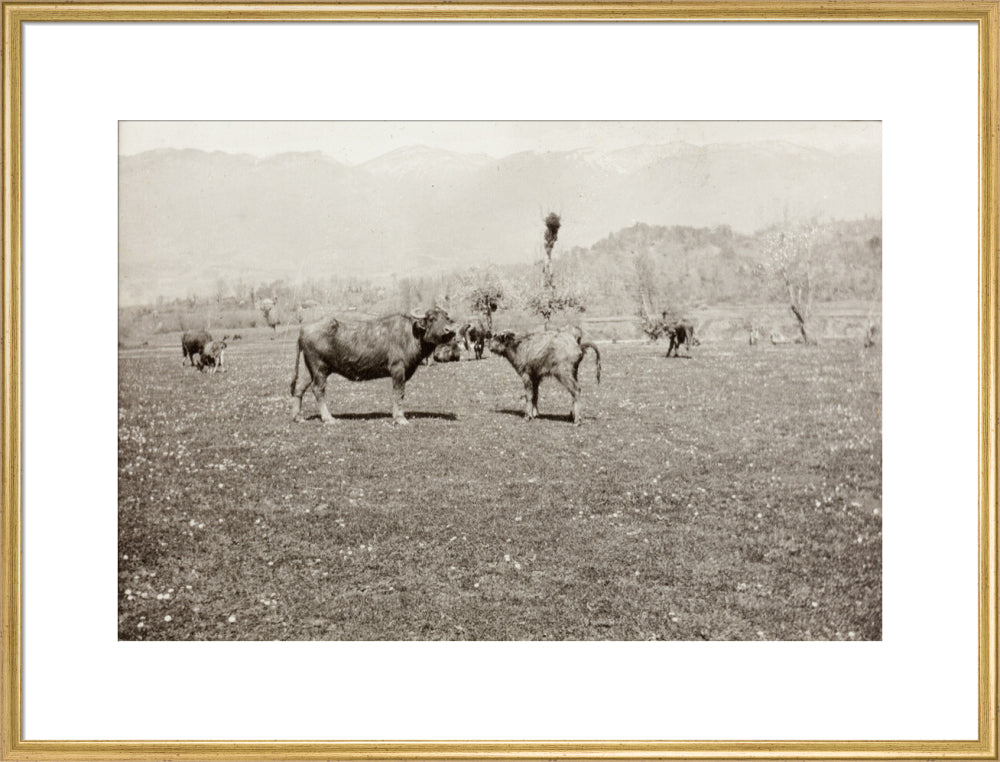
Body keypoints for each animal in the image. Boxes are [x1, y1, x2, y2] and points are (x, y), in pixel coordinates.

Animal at [290, 307, 458, 425]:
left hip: (308, 369)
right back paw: (328, 418)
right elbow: (398, 393)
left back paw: (298, 417)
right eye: (432, 318)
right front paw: (400, 418)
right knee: (318, 390)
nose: (450, 331)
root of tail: (303, 330)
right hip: (320, 368)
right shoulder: (398, 369)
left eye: (446, 318)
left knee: (299, 388)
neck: (411, 334)